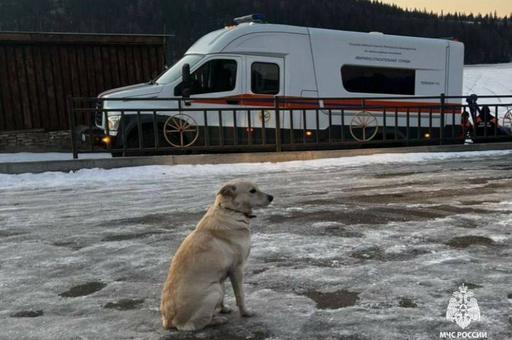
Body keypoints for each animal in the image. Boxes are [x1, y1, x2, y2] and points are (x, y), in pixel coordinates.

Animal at [161, 179, 274, 330]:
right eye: (252, 191)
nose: (271, 197)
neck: (231, 211)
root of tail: (168, 321)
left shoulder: (223, 274)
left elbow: (225, 297)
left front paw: (223, 308)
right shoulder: (237, 269)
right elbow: (240, 295)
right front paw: (245, 313)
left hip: (217, 286)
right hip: (214, 291)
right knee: (194, 324)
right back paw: (217, 320)